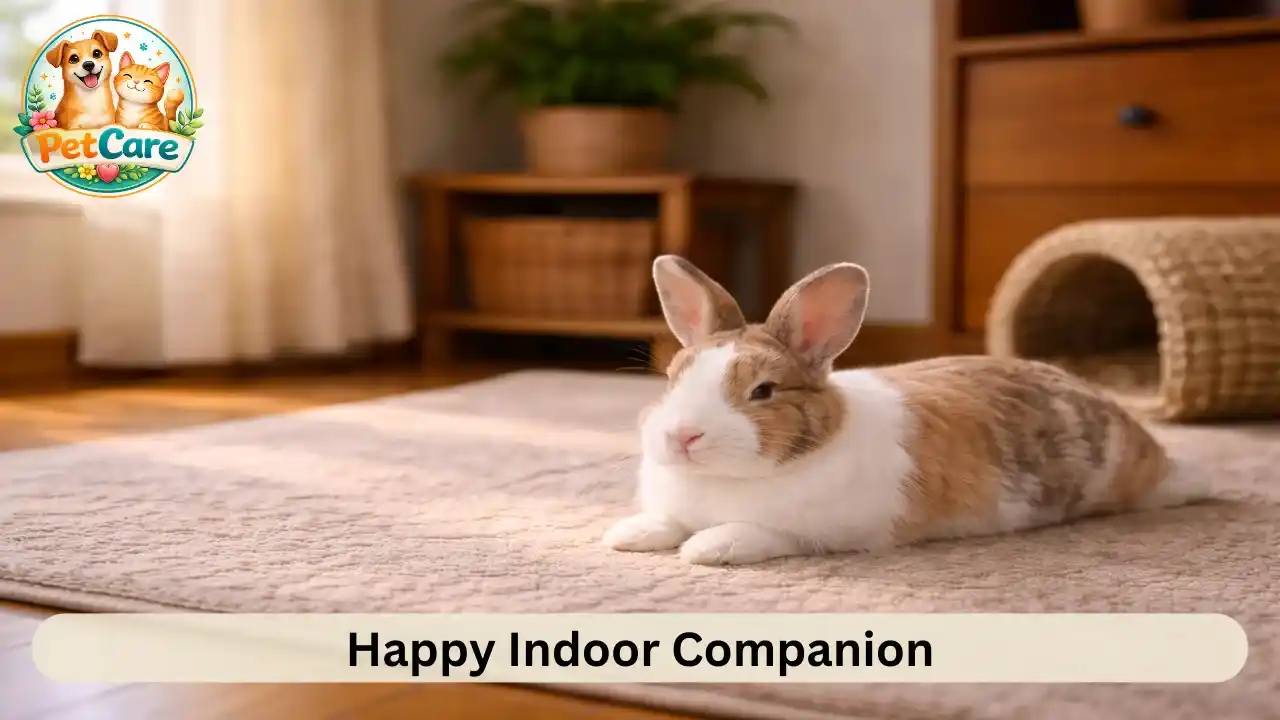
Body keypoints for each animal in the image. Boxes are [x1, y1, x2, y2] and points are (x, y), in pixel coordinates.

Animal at [601, 255, 1210, 566]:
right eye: (674, 378)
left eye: (764, 392)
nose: (682, 437)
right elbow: (667, 519)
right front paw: (628, 535)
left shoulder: (826, 530)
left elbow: (759, 533)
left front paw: (707, 547)